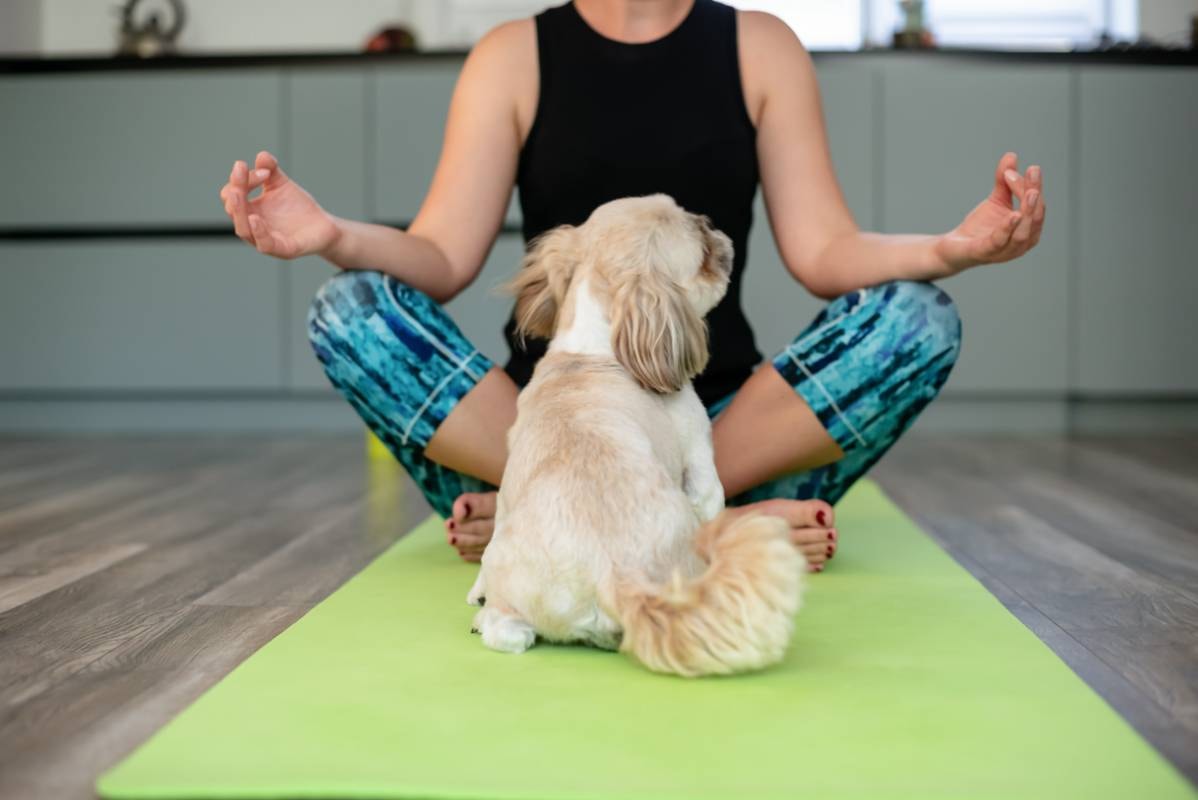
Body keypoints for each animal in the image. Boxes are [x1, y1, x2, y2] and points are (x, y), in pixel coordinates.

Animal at [467, 191, 805, 675]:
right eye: (703, 250)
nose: (710, 223)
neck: (593, 351)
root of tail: (616, 573)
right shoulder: (700, 462)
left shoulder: (506, 494)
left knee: (509, 631)